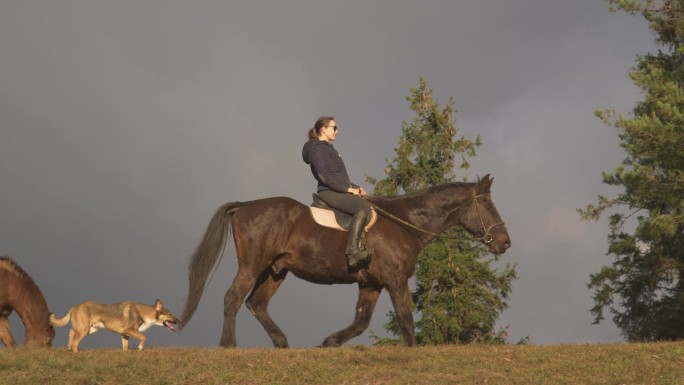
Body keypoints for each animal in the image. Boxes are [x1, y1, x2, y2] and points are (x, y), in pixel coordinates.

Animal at [179, 172, 510, 346]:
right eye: (489, 207)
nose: (505, 242)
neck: (405, 222)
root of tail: (245, 206)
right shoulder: (395, 280)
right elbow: (405, 320)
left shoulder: (372, 284)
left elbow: (361, 322)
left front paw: (329, 343)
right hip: (253, 265)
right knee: (233, 298)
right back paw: (228, 346)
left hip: (276, 270)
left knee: (256, 303)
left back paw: (283, 344)